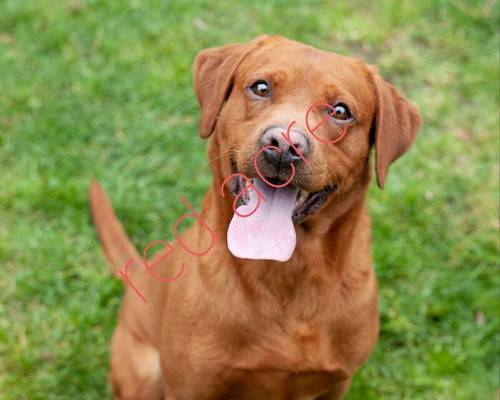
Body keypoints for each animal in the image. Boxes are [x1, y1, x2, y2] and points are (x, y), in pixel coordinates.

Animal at [91, 35, 422, 400]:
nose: (284, 146)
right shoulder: (190, 386)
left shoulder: (335, 383)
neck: (287, 273)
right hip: (145, 374)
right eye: (261, 88)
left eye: (340, 111)